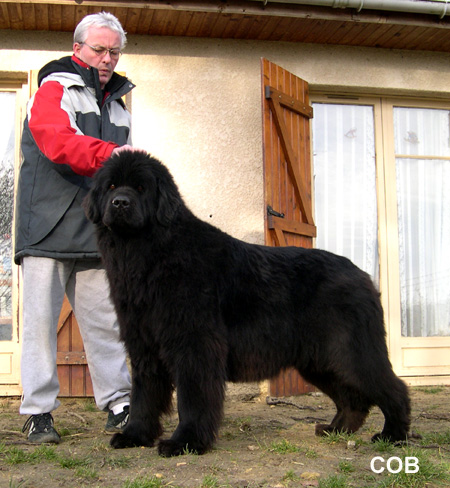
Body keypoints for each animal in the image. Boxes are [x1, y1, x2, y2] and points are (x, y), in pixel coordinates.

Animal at [84, 151, 411, 457]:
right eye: (111, 186)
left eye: (141, 188)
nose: (120, 203)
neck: (148, 254)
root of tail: (363, 276)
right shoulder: (143, 346)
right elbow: (144, 396)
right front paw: (135, 436)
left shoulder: (195, 345)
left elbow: (191, 399)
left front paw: (185, 442)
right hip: (319, 360)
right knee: (352, 397)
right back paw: (336, 429)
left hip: (350, 351)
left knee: (392, 387)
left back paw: (392, 435)